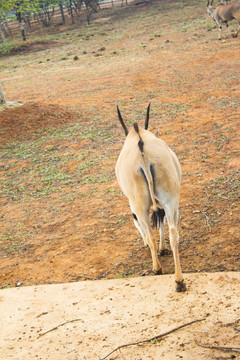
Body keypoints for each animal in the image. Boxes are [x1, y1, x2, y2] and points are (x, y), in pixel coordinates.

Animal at [115, 102, 187, 292]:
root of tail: (141, 147)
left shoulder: (134, 206)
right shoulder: (162, 204)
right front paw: (163, 250)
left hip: (139, 206)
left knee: (150, 233)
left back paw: (157, 269)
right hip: (172, 202)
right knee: (174, 234)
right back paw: (179, 281)